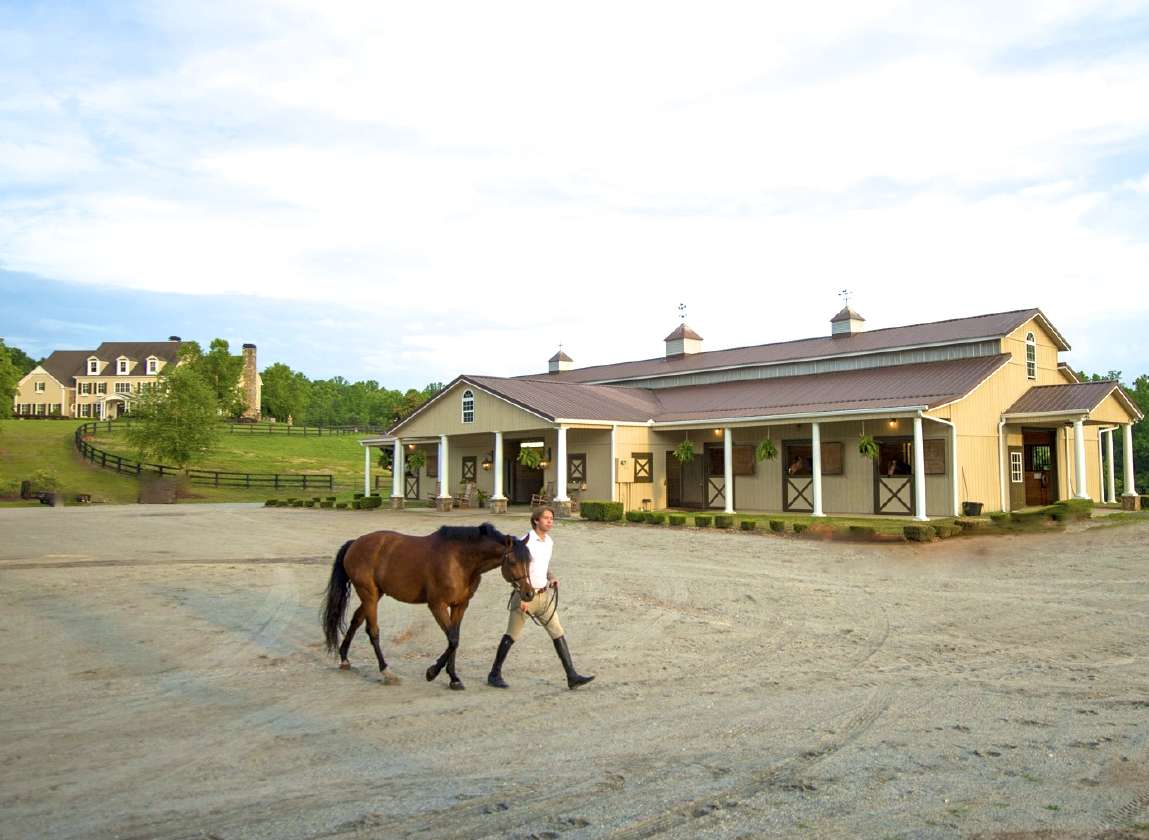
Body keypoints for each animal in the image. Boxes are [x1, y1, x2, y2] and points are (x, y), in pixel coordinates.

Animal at [321, 522, 533, 690]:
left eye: (529, 560)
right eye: (512, 561)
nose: (529, 593)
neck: (459, 560)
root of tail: (355, 543)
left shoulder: (460, 606)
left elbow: (455, 639)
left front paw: (454, 678)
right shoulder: (437, 605)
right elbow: (452, 640)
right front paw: (432, 672)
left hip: (373, 596)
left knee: (356, 620)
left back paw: (344, 658)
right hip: (369, 595)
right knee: (373, 631)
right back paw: (387, 671)